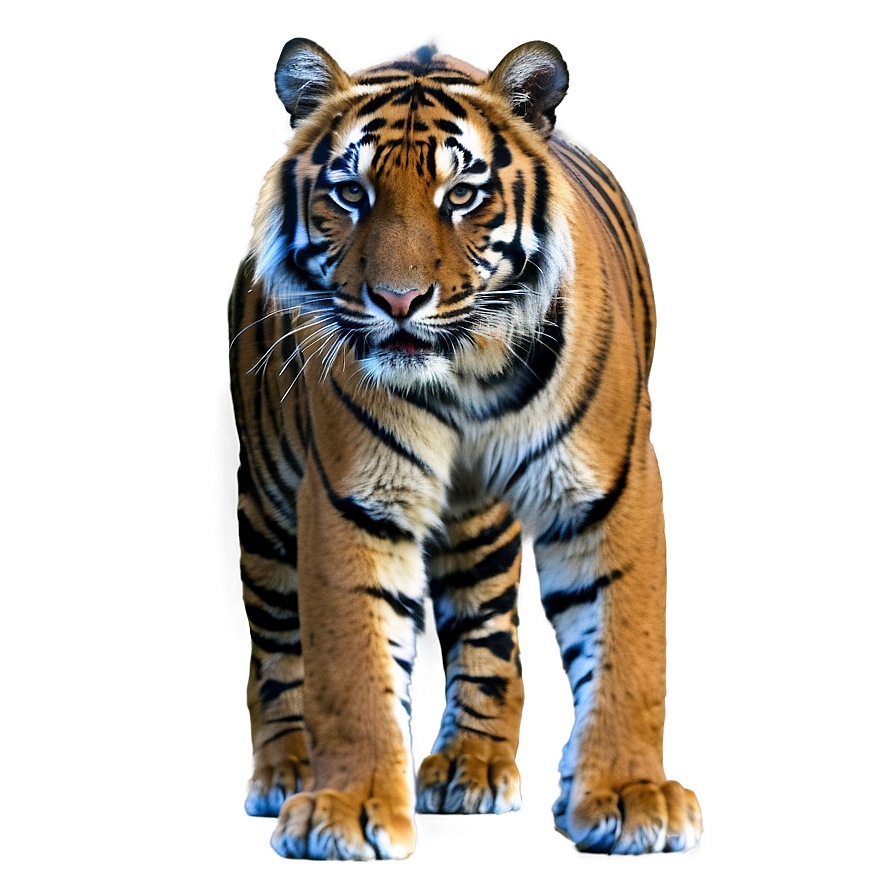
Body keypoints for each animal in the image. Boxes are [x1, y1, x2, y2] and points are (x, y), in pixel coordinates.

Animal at [229, 37, 702, 861]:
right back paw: (286, 771)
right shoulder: (349, 501)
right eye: (350, 193)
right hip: (263, 509)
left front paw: (627, 793)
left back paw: (474, 765)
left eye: (462, 195)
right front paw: (349, 806)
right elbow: (351, 665)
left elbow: (627, 646)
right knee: (277, 653)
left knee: (488, 638)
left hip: (481, 526)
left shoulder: (612, 487)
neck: (468, 377)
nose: (398, 300)